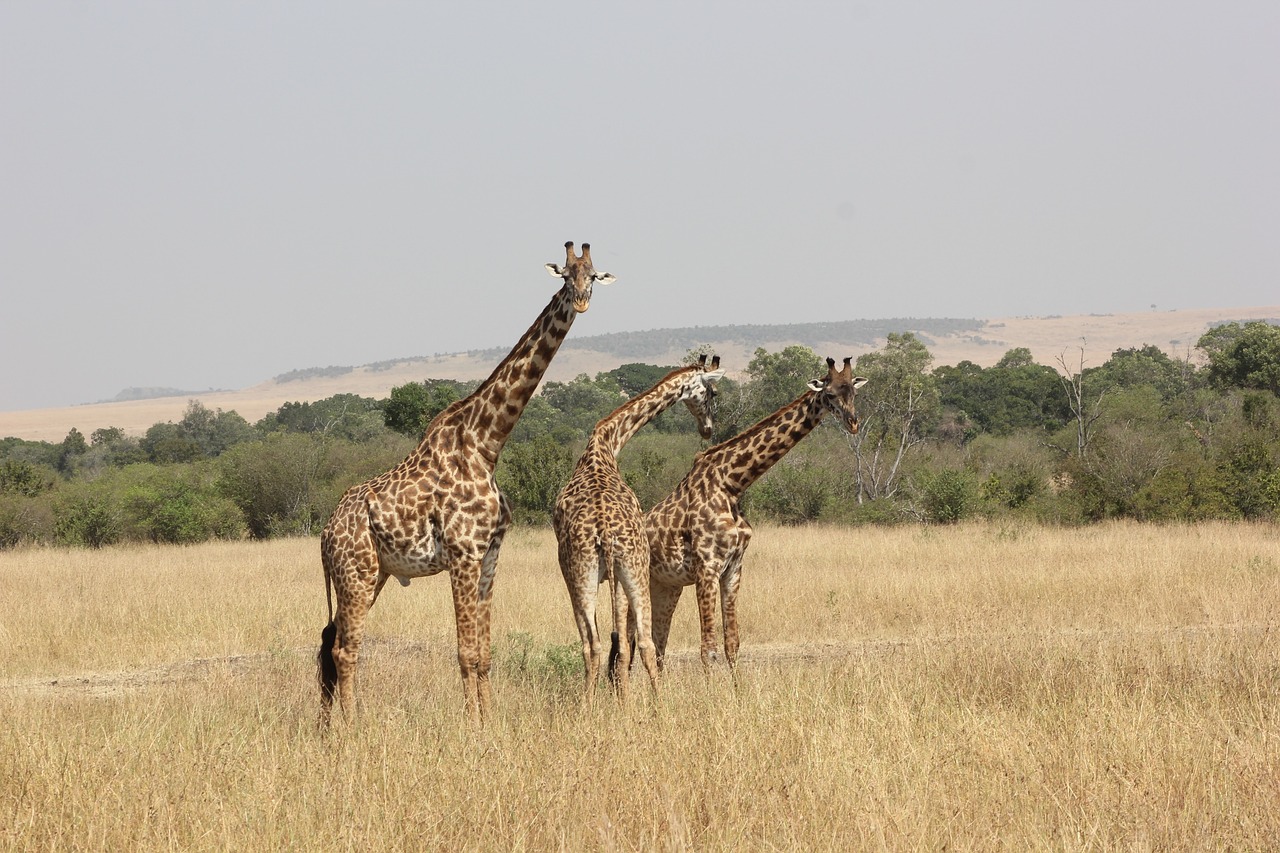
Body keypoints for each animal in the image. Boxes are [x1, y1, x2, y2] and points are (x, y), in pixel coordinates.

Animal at [322, 240, 616, 722]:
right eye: (564, 275)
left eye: (592, 276)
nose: (581, 302)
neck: (486, 444)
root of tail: (326, 533)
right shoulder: (462, 554)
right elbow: (464, 652)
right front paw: (470, 724)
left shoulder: (490, 555)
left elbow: (484, 653)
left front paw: (488, 719)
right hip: (355, 573)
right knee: (345, 649)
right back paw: (351, 726)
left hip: (374, 573)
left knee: (338, 644)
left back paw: (337, 722)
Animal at [555, 350, 727, 696]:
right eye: (712, 393)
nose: (707, 429)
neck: (607, 441)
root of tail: (604, 533)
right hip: (628, 568)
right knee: (642, 643)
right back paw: (656, 703)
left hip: (587, 571)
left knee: (594, 645)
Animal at [619, 356, 870, 676]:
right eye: (829, 394)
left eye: (853, 391)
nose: (853, 423)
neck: (732, 484)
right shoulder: (707, 568)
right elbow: (709, 649)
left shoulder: (733, 568)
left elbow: (732, 644)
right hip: (630, 586)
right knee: (625, 645)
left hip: (666, 586)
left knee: (656, 645)